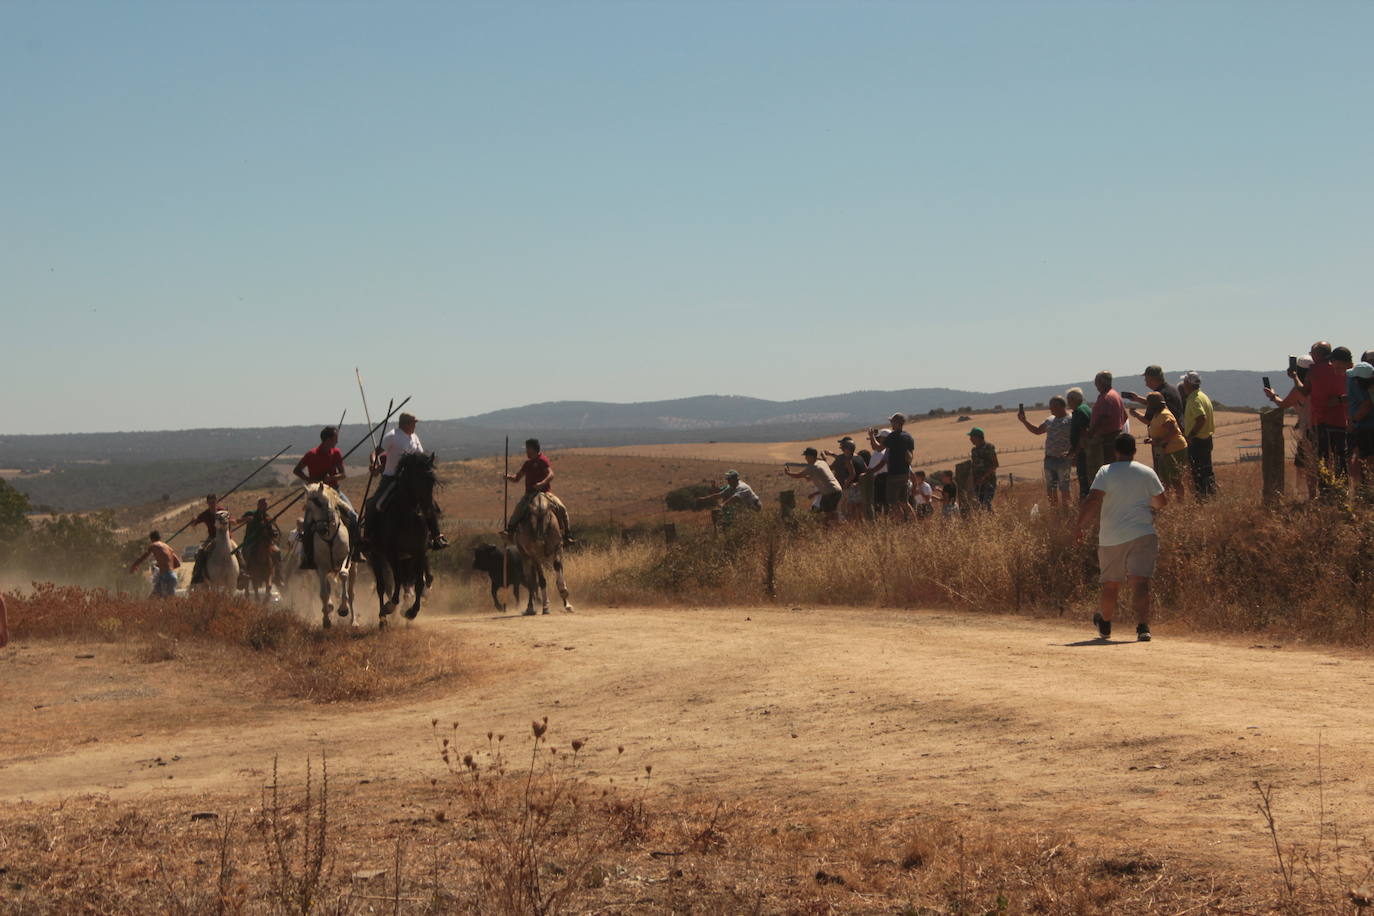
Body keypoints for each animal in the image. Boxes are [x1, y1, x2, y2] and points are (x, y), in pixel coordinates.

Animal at [303, 483, 354, 626]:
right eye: (308, 506)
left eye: (321, 503)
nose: (321, 529)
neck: (329, 536)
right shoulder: (321, 567)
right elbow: (324, 593)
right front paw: (326, 620)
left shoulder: (346, 559)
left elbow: (343, 575)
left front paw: (343, 609)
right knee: (328, 588)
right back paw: (329, 608)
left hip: (354, 568)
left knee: (351, 593)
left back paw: (354, 622)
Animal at [362, 453, 436, 626]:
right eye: (419, 478)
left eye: (433, 481)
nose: (428, 510)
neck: (408, 516)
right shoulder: (392, 553)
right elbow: (397, 580)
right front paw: (391, 606)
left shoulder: (419, 552)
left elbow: (418, 582)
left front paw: (411, 612)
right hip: (377, 556)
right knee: (382, 586)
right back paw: (383, 619)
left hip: (404, 559)